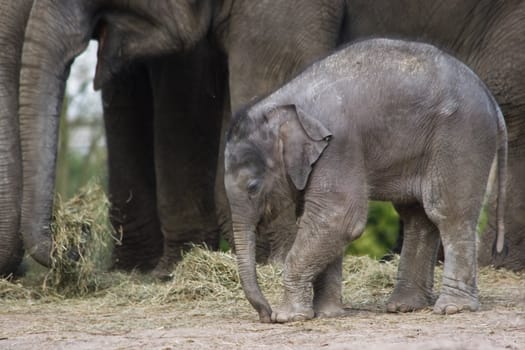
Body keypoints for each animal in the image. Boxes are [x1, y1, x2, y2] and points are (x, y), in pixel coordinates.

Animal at [223, 37, 506, 322]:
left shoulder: (338, 147)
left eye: (253, 187)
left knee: (447, 212)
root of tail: (489, 97)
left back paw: (452, 308)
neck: (284, 104)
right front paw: (328, 313)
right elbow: (319, 221)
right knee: (417, 216)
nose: (265, 314)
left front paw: (288, 317)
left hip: (462, 137)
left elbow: (339, 218)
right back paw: (405, 306)